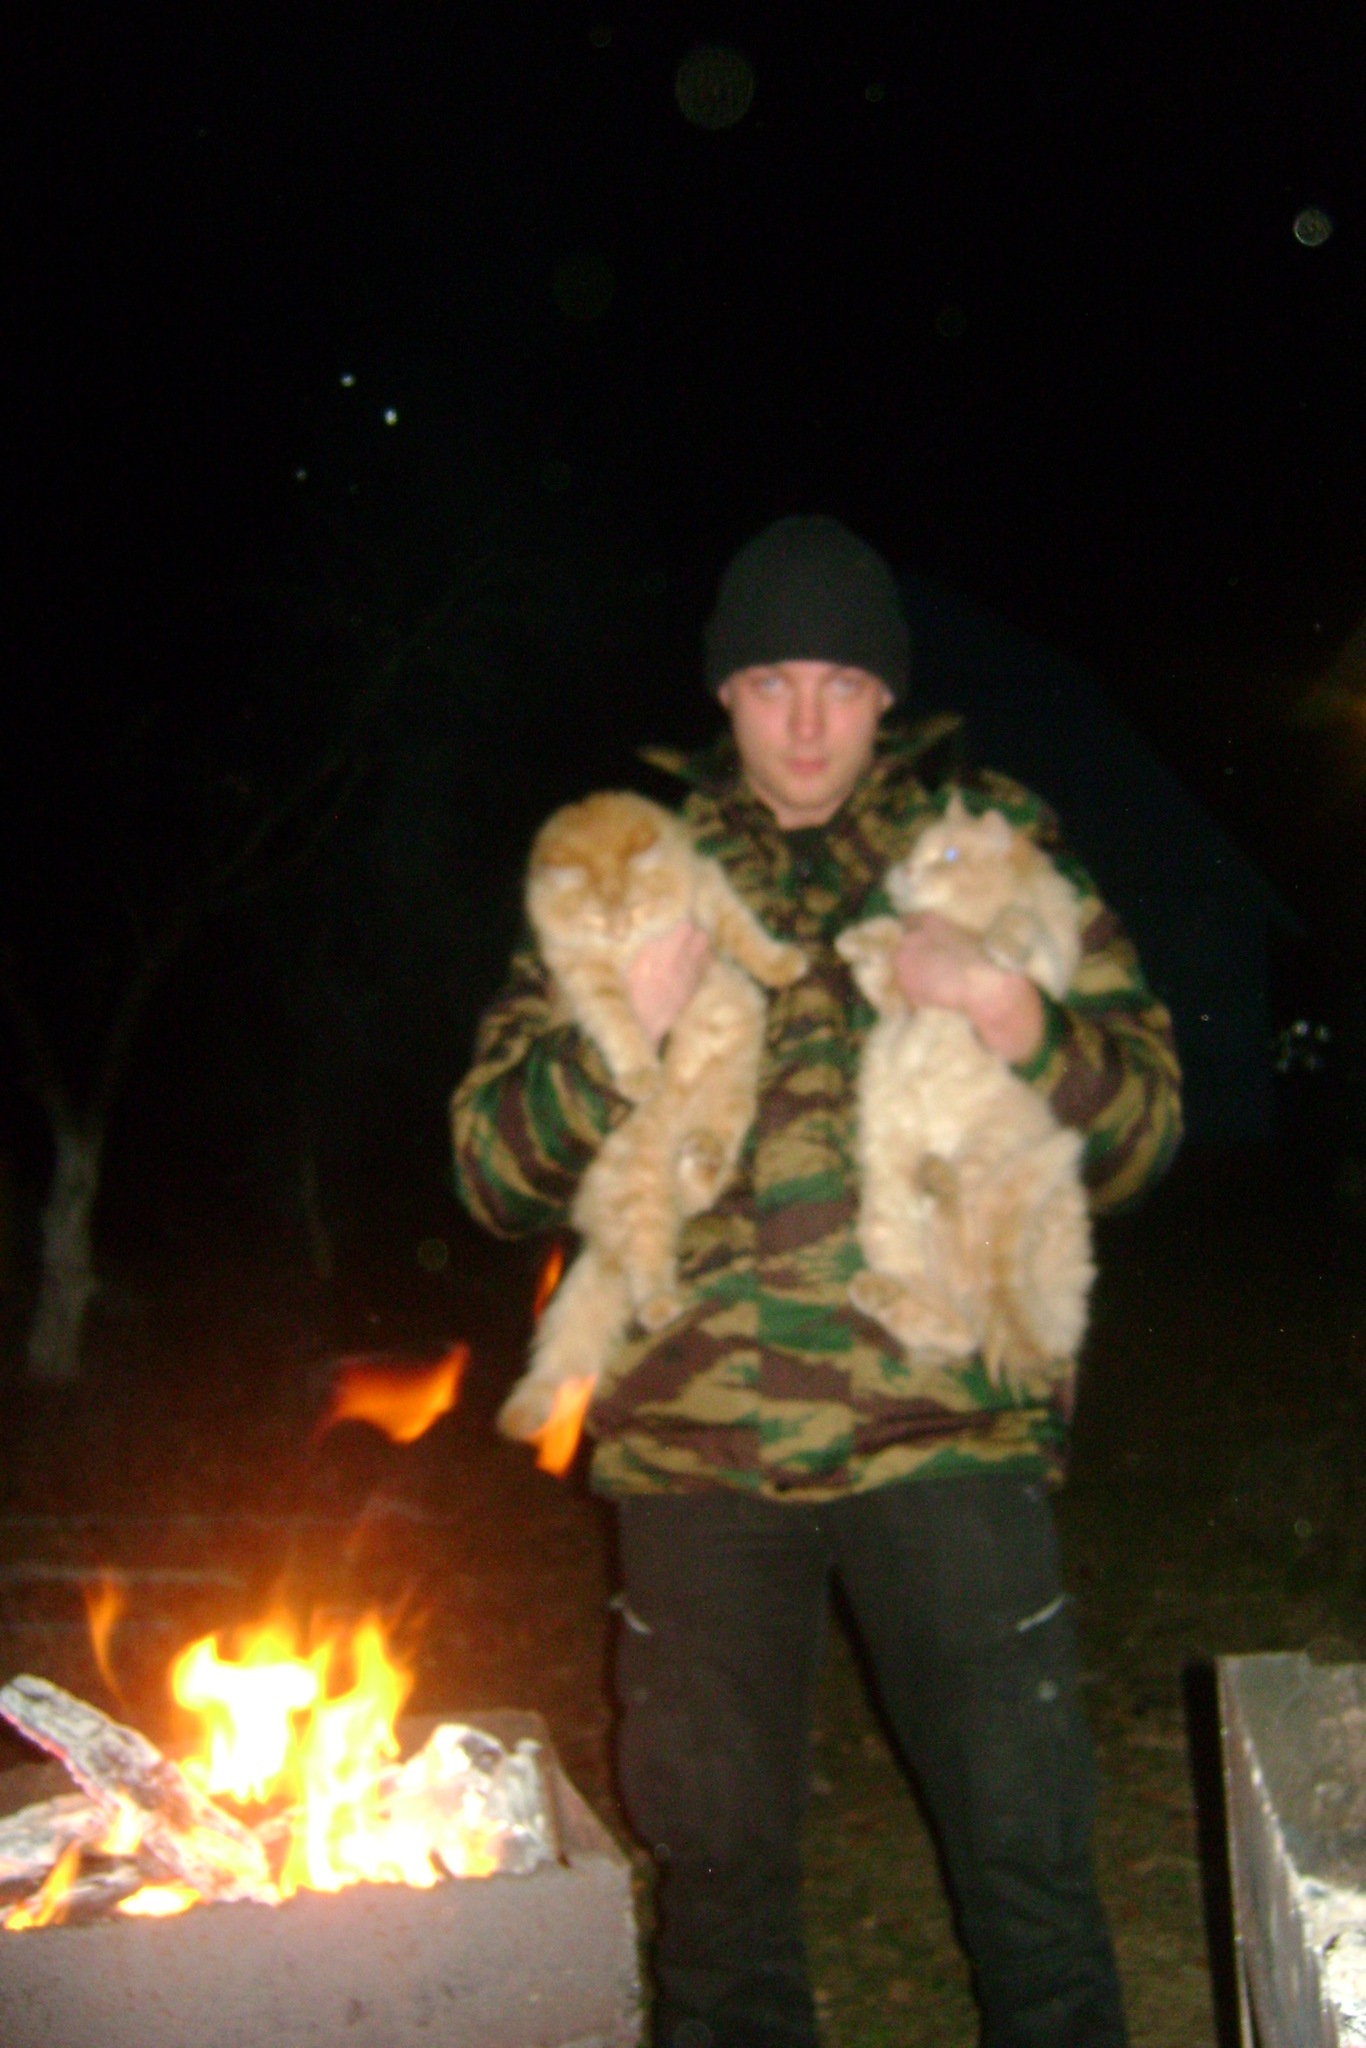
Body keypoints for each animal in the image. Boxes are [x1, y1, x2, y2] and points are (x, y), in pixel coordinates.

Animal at [499, 790, 806, 1440]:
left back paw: (699, 1157)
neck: (632, 944)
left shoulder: (710, 893)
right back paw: (660, 1301)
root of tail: (600, 1237)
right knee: (650, 1262)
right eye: (597, 917)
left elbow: (747, 934)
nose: (621, 929)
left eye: (634, 904)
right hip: (639, 1189)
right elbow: (620, 1025)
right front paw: (641, 1072)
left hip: (732, 1099)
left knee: (706, 1176)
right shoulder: (587, 978)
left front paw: (781, 964)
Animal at [834, 793, 1095, 1385]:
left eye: (948, 854)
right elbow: (884, 953)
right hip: (888, 1228)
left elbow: (1022, 924)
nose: (909, 869)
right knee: (956, 1323)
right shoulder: (898, 1006)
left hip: (982, 1170)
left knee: (967, 1272)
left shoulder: (1044, 970)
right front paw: (860, 938)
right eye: (914, 849)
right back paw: (877, 1292)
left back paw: (935, 1183)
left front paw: (999, 942)